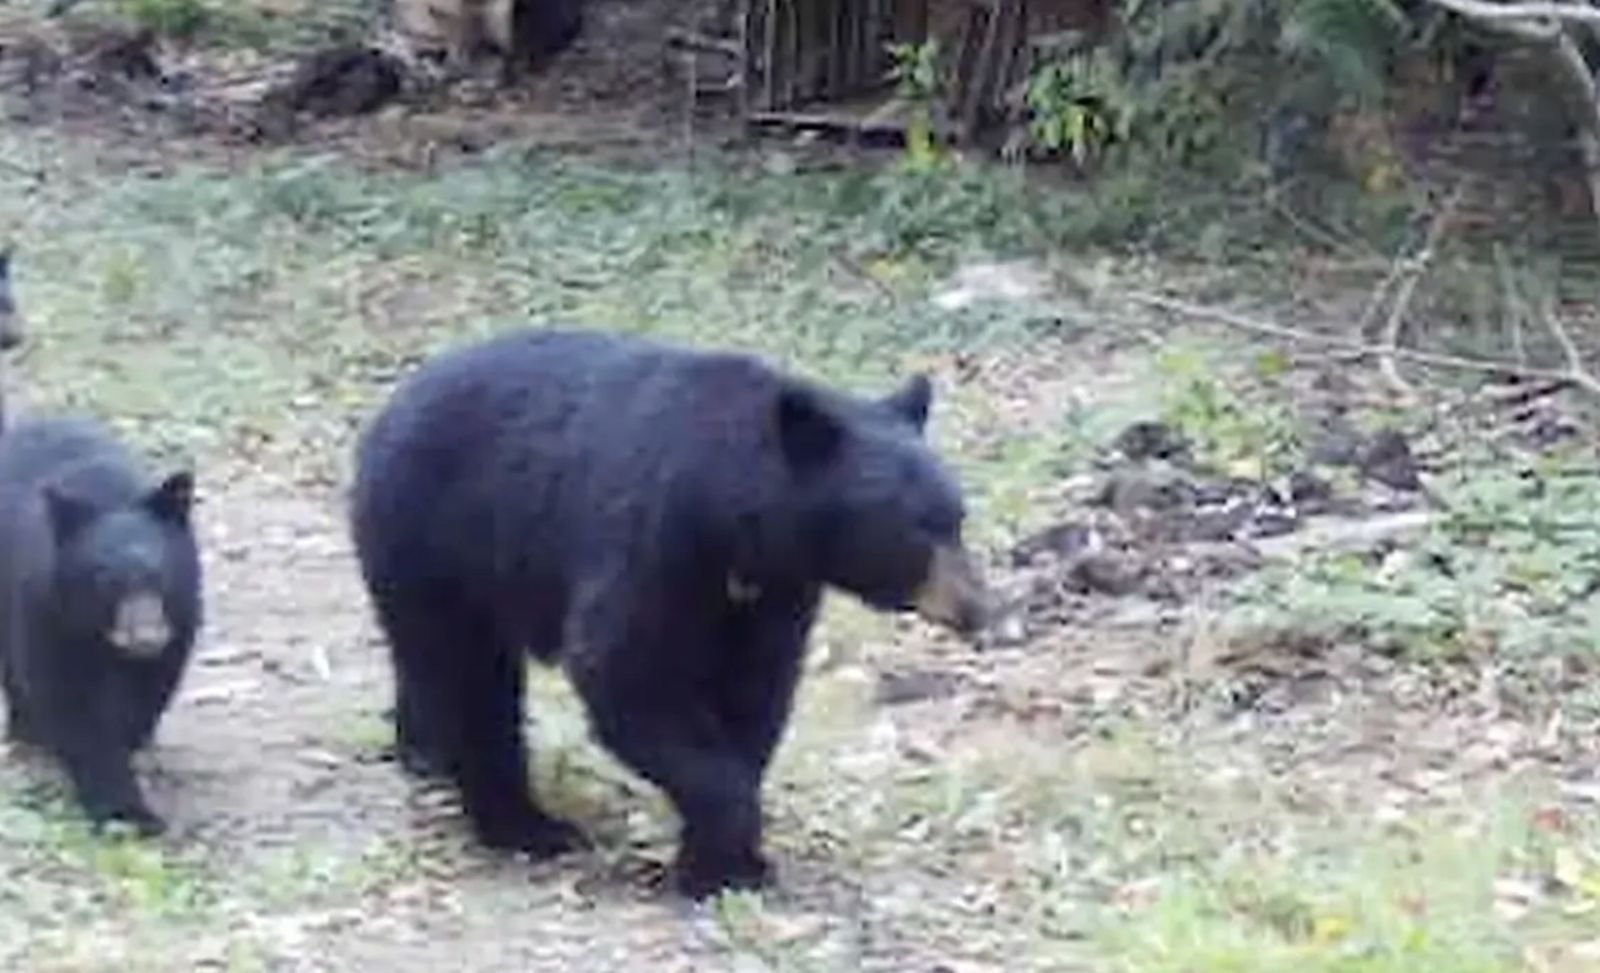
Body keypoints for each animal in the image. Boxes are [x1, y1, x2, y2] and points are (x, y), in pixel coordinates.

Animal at [0, 416, 201, 835]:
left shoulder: (179, 615)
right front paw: (126, 811)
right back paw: (26, 735)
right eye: (107, 580)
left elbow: (148, 694)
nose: (146, 636)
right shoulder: (43, 610)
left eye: (158, 573)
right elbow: (71, 710)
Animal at [349, 327, 989, 898]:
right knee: (471, 681)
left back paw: (426, 754)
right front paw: (717, 861)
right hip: (438, 538)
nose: (978, 607)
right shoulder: (656, 543)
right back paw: (526, 826)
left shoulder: (775, 594)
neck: (738, 524)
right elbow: (626, 672)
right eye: (916, 529)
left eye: (958, 518)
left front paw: (734, 861)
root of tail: (387, 411)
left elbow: (756, 693)